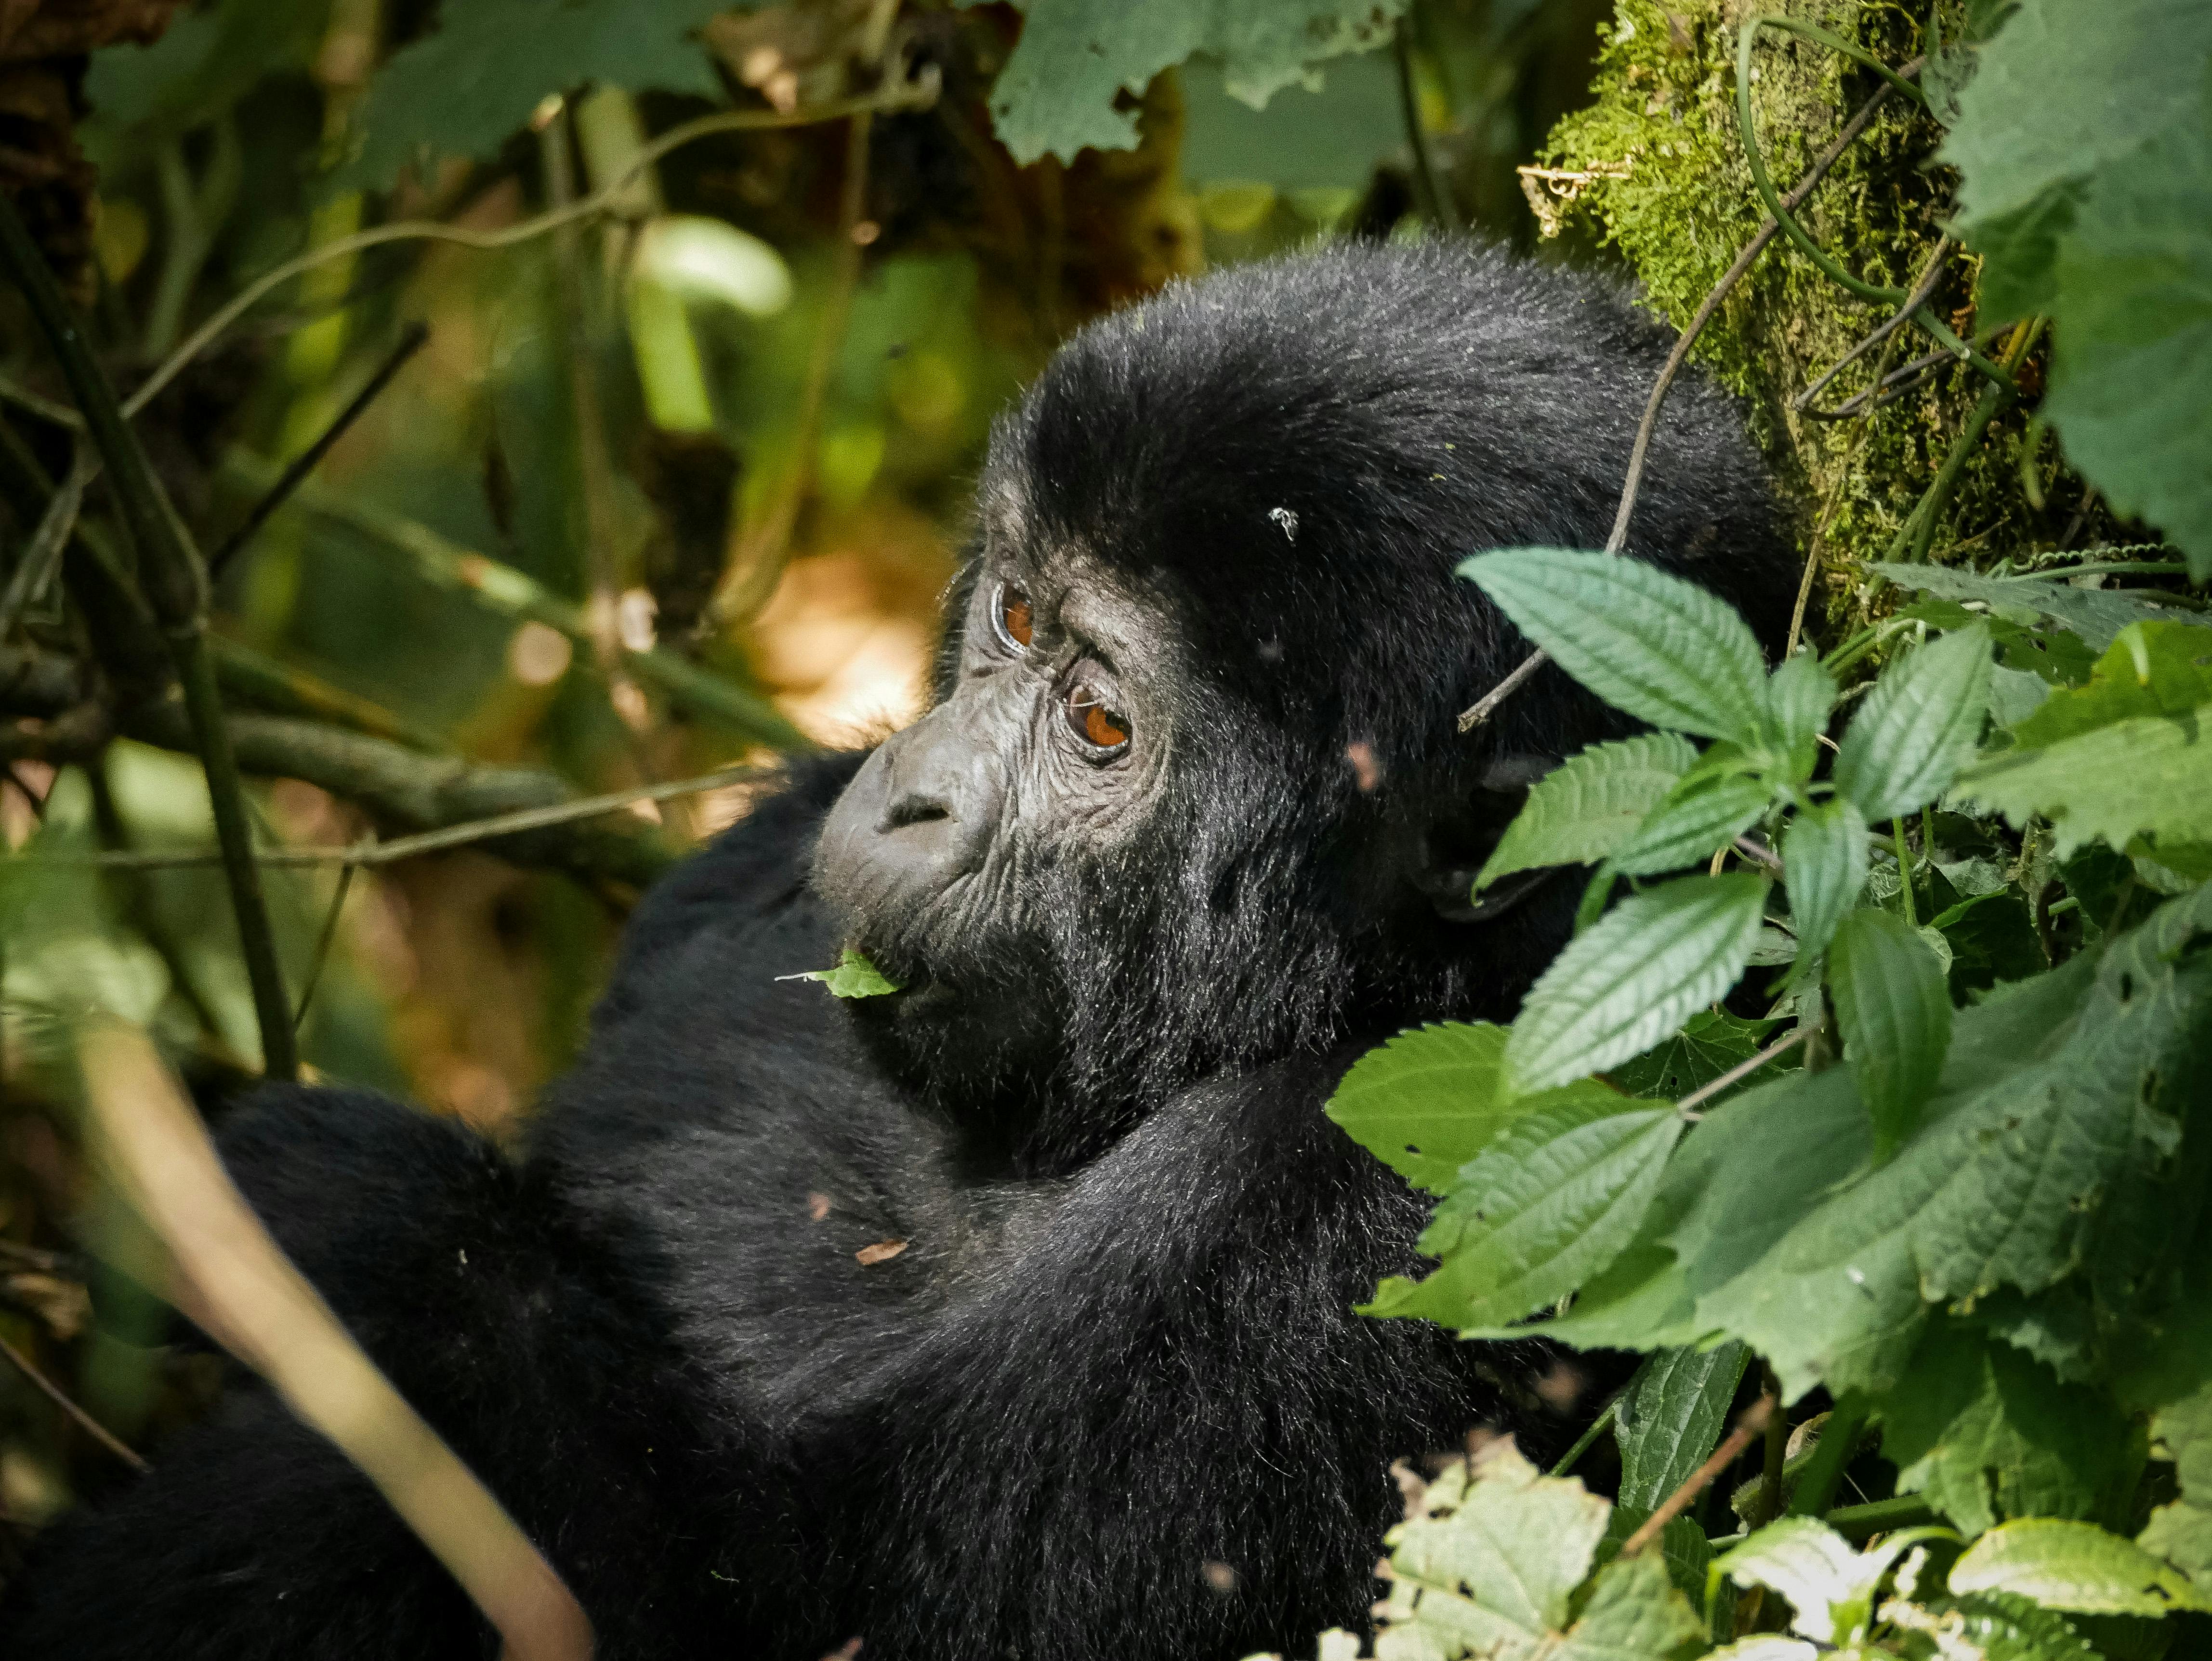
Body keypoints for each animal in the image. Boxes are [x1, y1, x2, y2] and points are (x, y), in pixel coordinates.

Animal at [0, 243, 1787, 1661]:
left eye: (1099, 721)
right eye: (1013, 617)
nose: (910, 792)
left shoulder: (1401, 1187)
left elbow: (784, 1596)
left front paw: (321, 1198)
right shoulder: (751, 858)